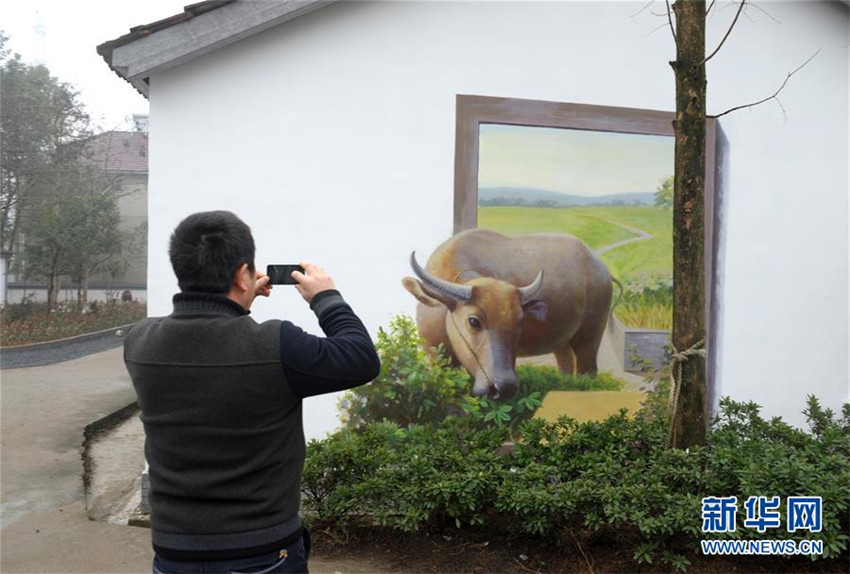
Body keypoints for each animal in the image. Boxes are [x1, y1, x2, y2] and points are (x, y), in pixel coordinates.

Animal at [400, 228, 612, 400]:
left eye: (520, 321)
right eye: (474, 321)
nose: (505, 388)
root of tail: (601, 269)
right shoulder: (435, 355)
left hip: (590, 336)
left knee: (587, 371)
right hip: (563, 343)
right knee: (566, 365)